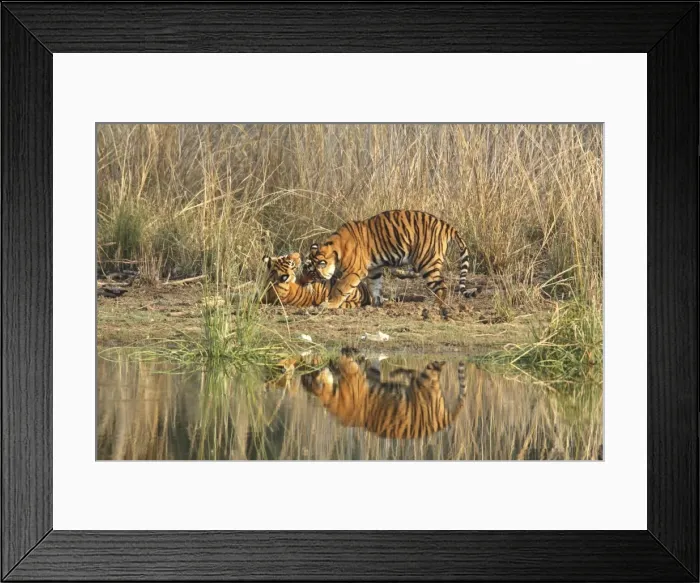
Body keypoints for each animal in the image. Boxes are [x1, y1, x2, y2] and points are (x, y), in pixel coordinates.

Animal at [301, 348, 467, 439]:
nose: (313, 367)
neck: (330, 396)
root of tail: (446, 420)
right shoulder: (358, 376)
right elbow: (352, 364)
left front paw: (349, 352)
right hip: (424, 378)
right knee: (422, 371)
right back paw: (397, 373)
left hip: (425, 379)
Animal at [306, 210, 472, 309]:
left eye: (313, 272)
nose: (308, 283)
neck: (335, 250)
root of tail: (446, 225)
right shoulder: (374, 269)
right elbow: (375, 286)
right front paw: (375, 305)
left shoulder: (354, 271)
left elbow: (340, 288)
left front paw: (328, 304)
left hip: (427, 262)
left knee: (441, 286)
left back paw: (436, 307)